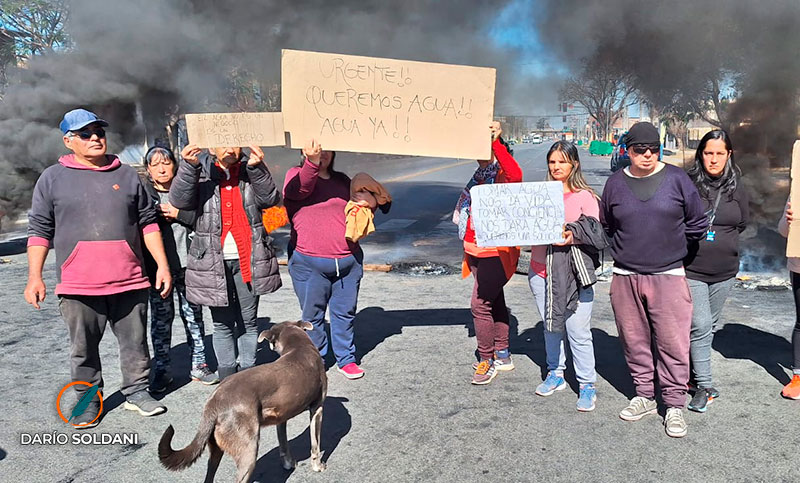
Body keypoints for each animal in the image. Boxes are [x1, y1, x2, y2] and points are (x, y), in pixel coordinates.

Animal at [158, 322, 326, 483]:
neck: (298, 345)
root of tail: (214, 402)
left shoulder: (281, 417)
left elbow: (283, 443)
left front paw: (288, 463)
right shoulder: (317, 408)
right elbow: (315, 444)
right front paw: (318, 466)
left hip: (216, 448)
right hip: (248, 451)